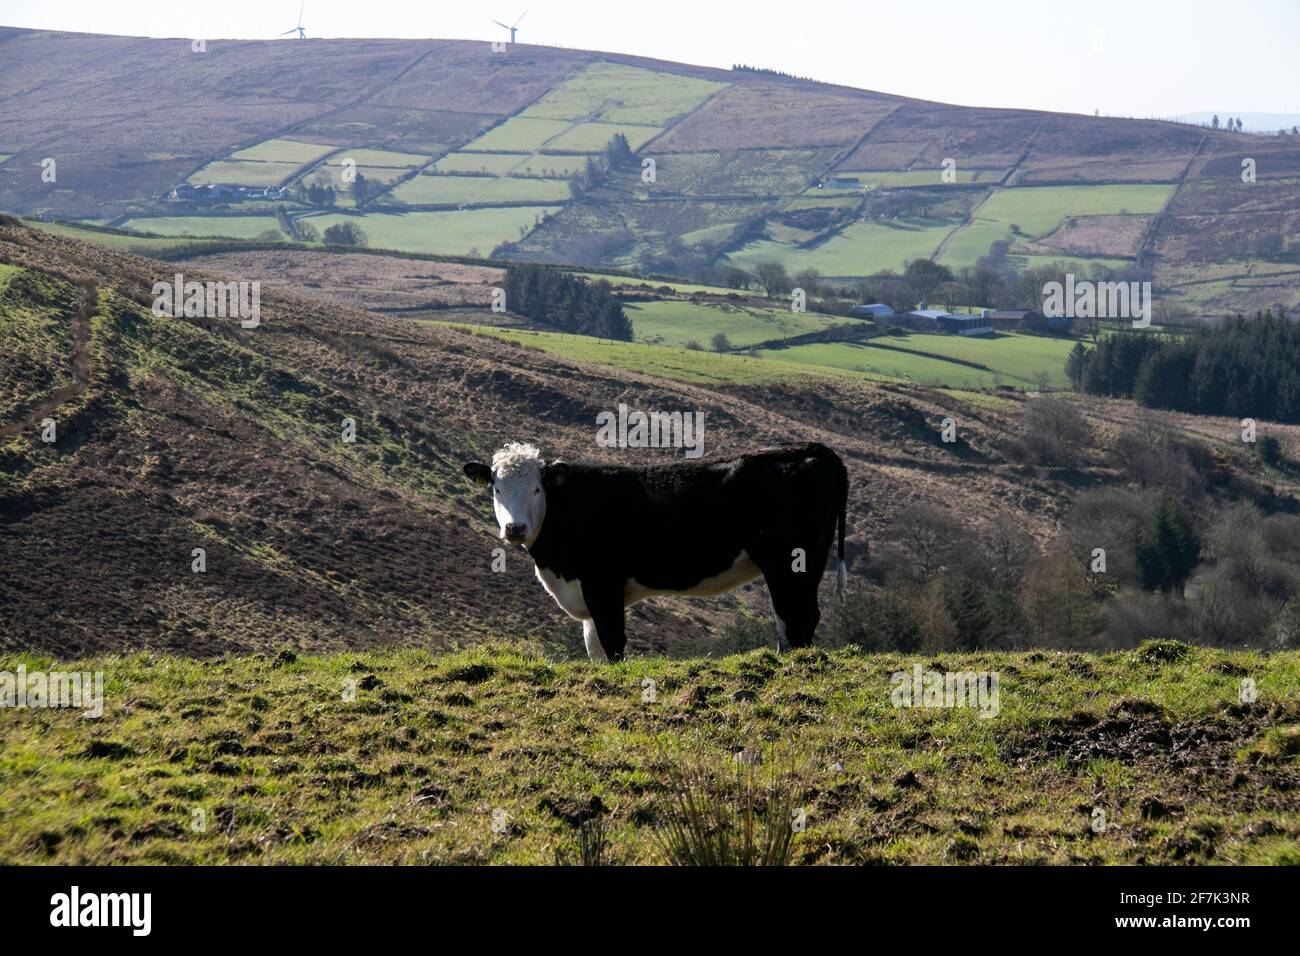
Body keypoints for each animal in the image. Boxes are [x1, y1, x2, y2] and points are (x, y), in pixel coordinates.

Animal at [462, 442, 847, 660]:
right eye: (497, 488)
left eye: (537, 489)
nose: (515, 529)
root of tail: (807, 449)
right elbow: (595, 649)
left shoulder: (604, 585)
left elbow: (613, 643)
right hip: (810, 560)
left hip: (788, 562)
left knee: (794, 618)